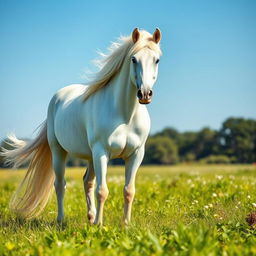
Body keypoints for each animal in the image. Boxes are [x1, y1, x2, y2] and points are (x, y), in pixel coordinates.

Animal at [1, 27, 162, 225]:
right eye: (133, 59)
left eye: (156, 60)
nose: (145, 94)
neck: (125, 115)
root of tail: (57, 98)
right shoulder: (102, 152)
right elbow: (102, 190)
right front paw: (100, 225)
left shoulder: (136, 154)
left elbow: (128, 191)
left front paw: (125, 225)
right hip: (59, 151)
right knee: (60, 184)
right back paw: (61, 220)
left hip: (90, 156)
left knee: (87, 181)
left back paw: (91, 218)